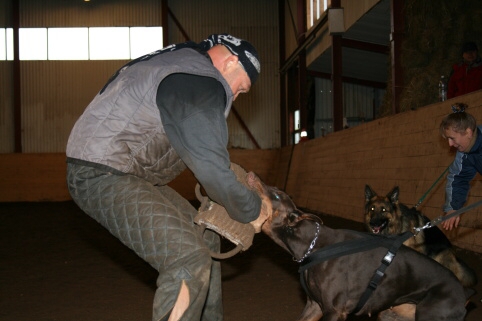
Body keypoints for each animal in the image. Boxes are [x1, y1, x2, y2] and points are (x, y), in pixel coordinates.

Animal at [247, 172, 472, 320]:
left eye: (277, 195)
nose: (251, 174)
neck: (312, 245)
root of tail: (465, 294)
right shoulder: (314, 306)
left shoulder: (334, 311)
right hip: (394, 314)